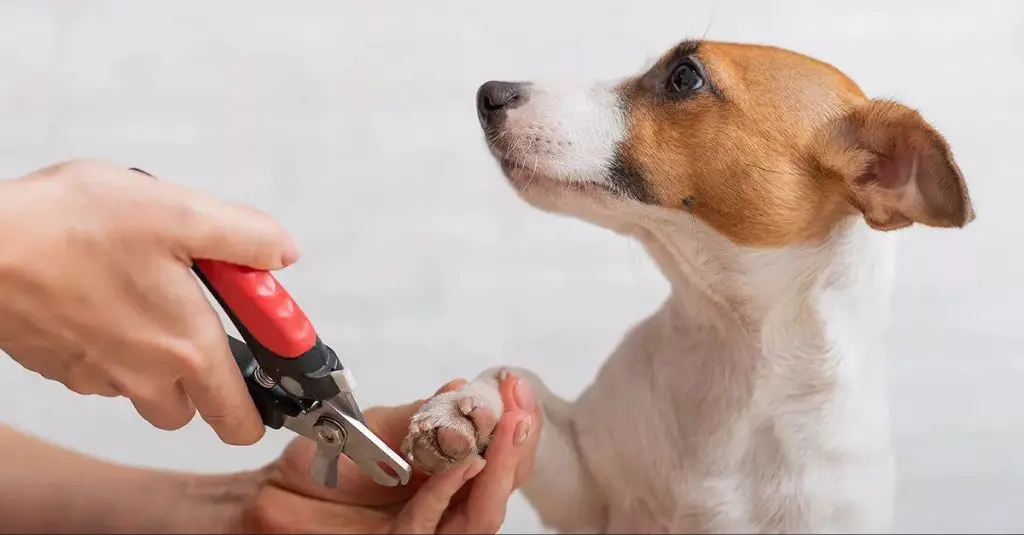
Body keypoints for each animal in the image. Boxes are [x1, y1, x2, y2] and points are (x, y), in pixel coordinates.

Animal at [395, 39, 970, 528]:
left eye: (685, 77)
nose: (488, 93)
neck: (729, 345)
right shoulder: (586, 493)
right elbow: (517, 380)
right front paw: (465, 408)